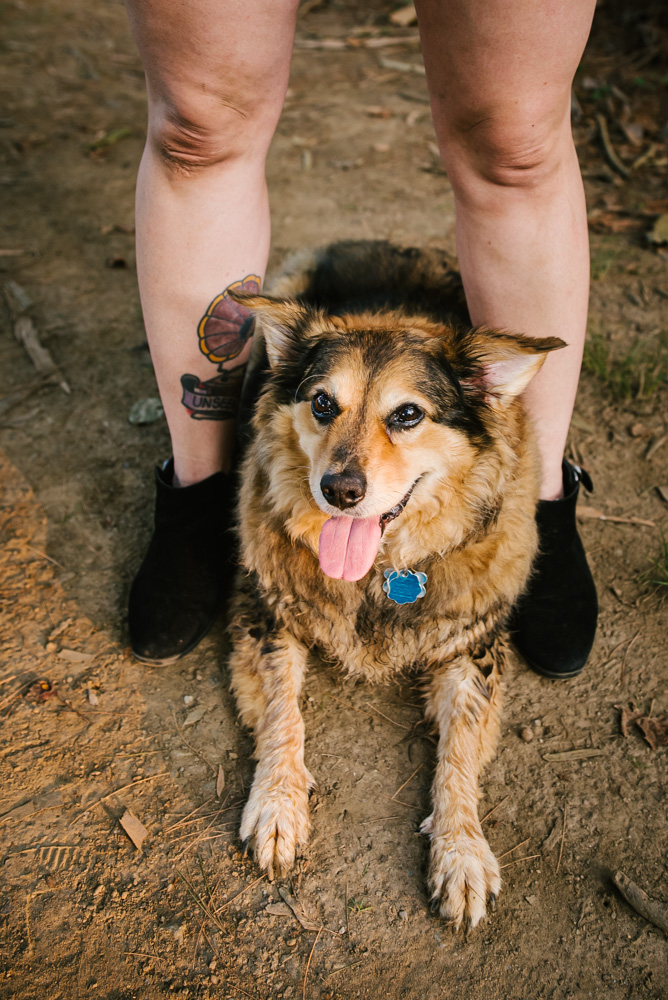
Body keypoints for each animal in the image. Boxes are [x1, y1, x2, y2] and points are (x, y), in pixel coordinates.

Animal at [227, 240, 563, 929]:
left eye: (408, 415)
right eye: (322, 404)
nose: (339, 490)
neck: (381, 570)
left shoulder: (472, 651)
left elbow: (459, 752)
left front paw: (461, 852)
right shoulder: (265, 616)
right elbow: (282, 713)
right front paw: (277, 804)